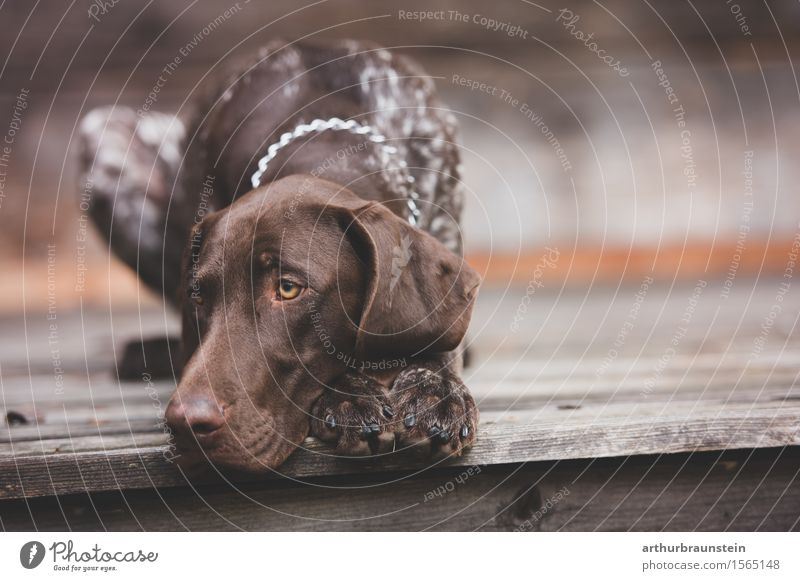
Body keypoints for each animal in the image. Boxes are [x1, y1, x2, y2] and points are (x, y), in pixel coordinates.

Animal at [79, 42, 482, 476]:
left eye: (288, 289)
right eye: (198, 295)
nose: (186, 423)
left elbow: (438, 343)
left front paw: (437, 394)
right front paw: (349, 395)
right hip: (103, 134)